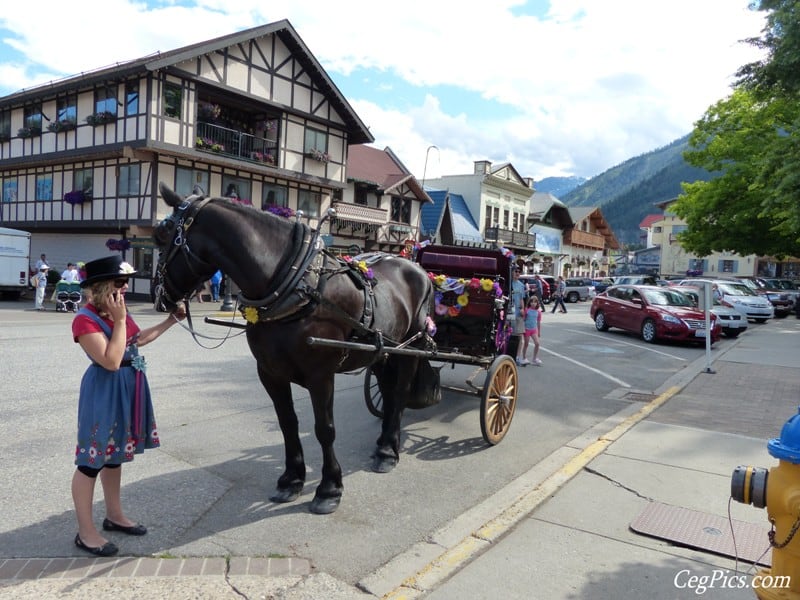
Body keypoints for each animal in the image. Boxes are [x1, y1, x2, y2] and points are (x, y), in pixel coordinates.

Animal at [153, 180, 434, 512]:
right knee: (389, 393)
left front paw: (329, 488)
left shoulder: (320, 376)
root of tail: (417, 269)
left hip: (410, 348)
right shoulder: (270, 373)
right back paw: (383, 446)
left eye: (162, 235)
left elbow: (324, 429)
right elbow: (287, 423)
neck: (295, 286)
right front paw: (291, 480)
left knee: (400, 393)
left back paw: (389, 452)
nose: (158, 297)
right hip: (383, 352)